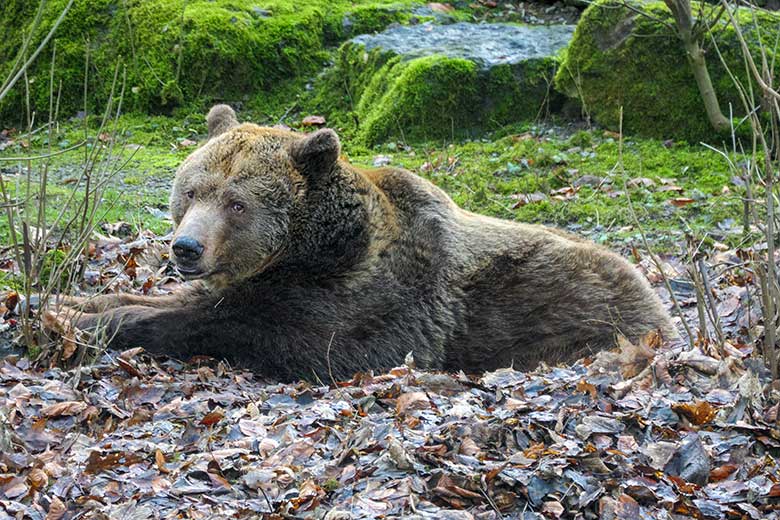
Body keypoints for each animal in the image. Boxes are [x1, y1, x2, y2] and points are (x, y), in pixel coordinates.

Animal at [70, 105, 672, 382]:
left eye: (237, 204)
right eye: (192, 190)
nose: (186, 247)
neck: (311, 250)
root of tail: (657, 301)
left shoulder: (363, 304)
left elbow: (227, 324)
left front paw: (88, 322)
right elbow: (171, 299)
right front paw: (68, 301)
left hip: (582, 319)